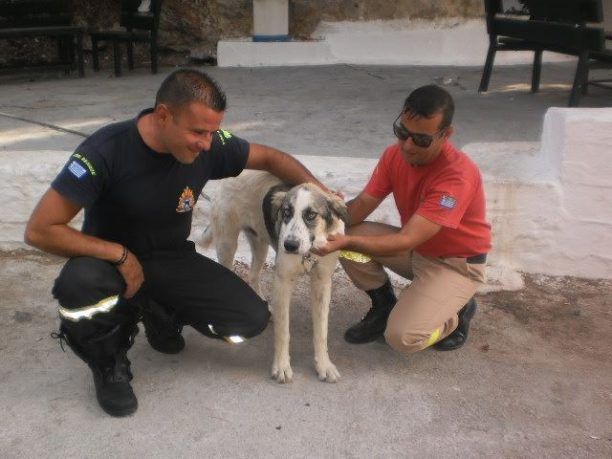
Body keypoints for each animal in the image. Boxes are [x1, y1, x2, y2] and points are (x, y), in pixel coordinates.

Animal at [200, 171, 346, 382]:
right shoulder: (282, 281)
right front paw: (282, 366)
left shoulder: (323, 282)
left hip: (259, 243)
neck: (308, 252)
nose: (289, 246)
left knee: (253, 275)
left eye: (310, 215)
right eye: (286, 213)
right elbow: (283, 331)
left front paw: (324, 365)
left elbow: (321, 331)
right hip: (227, 244)